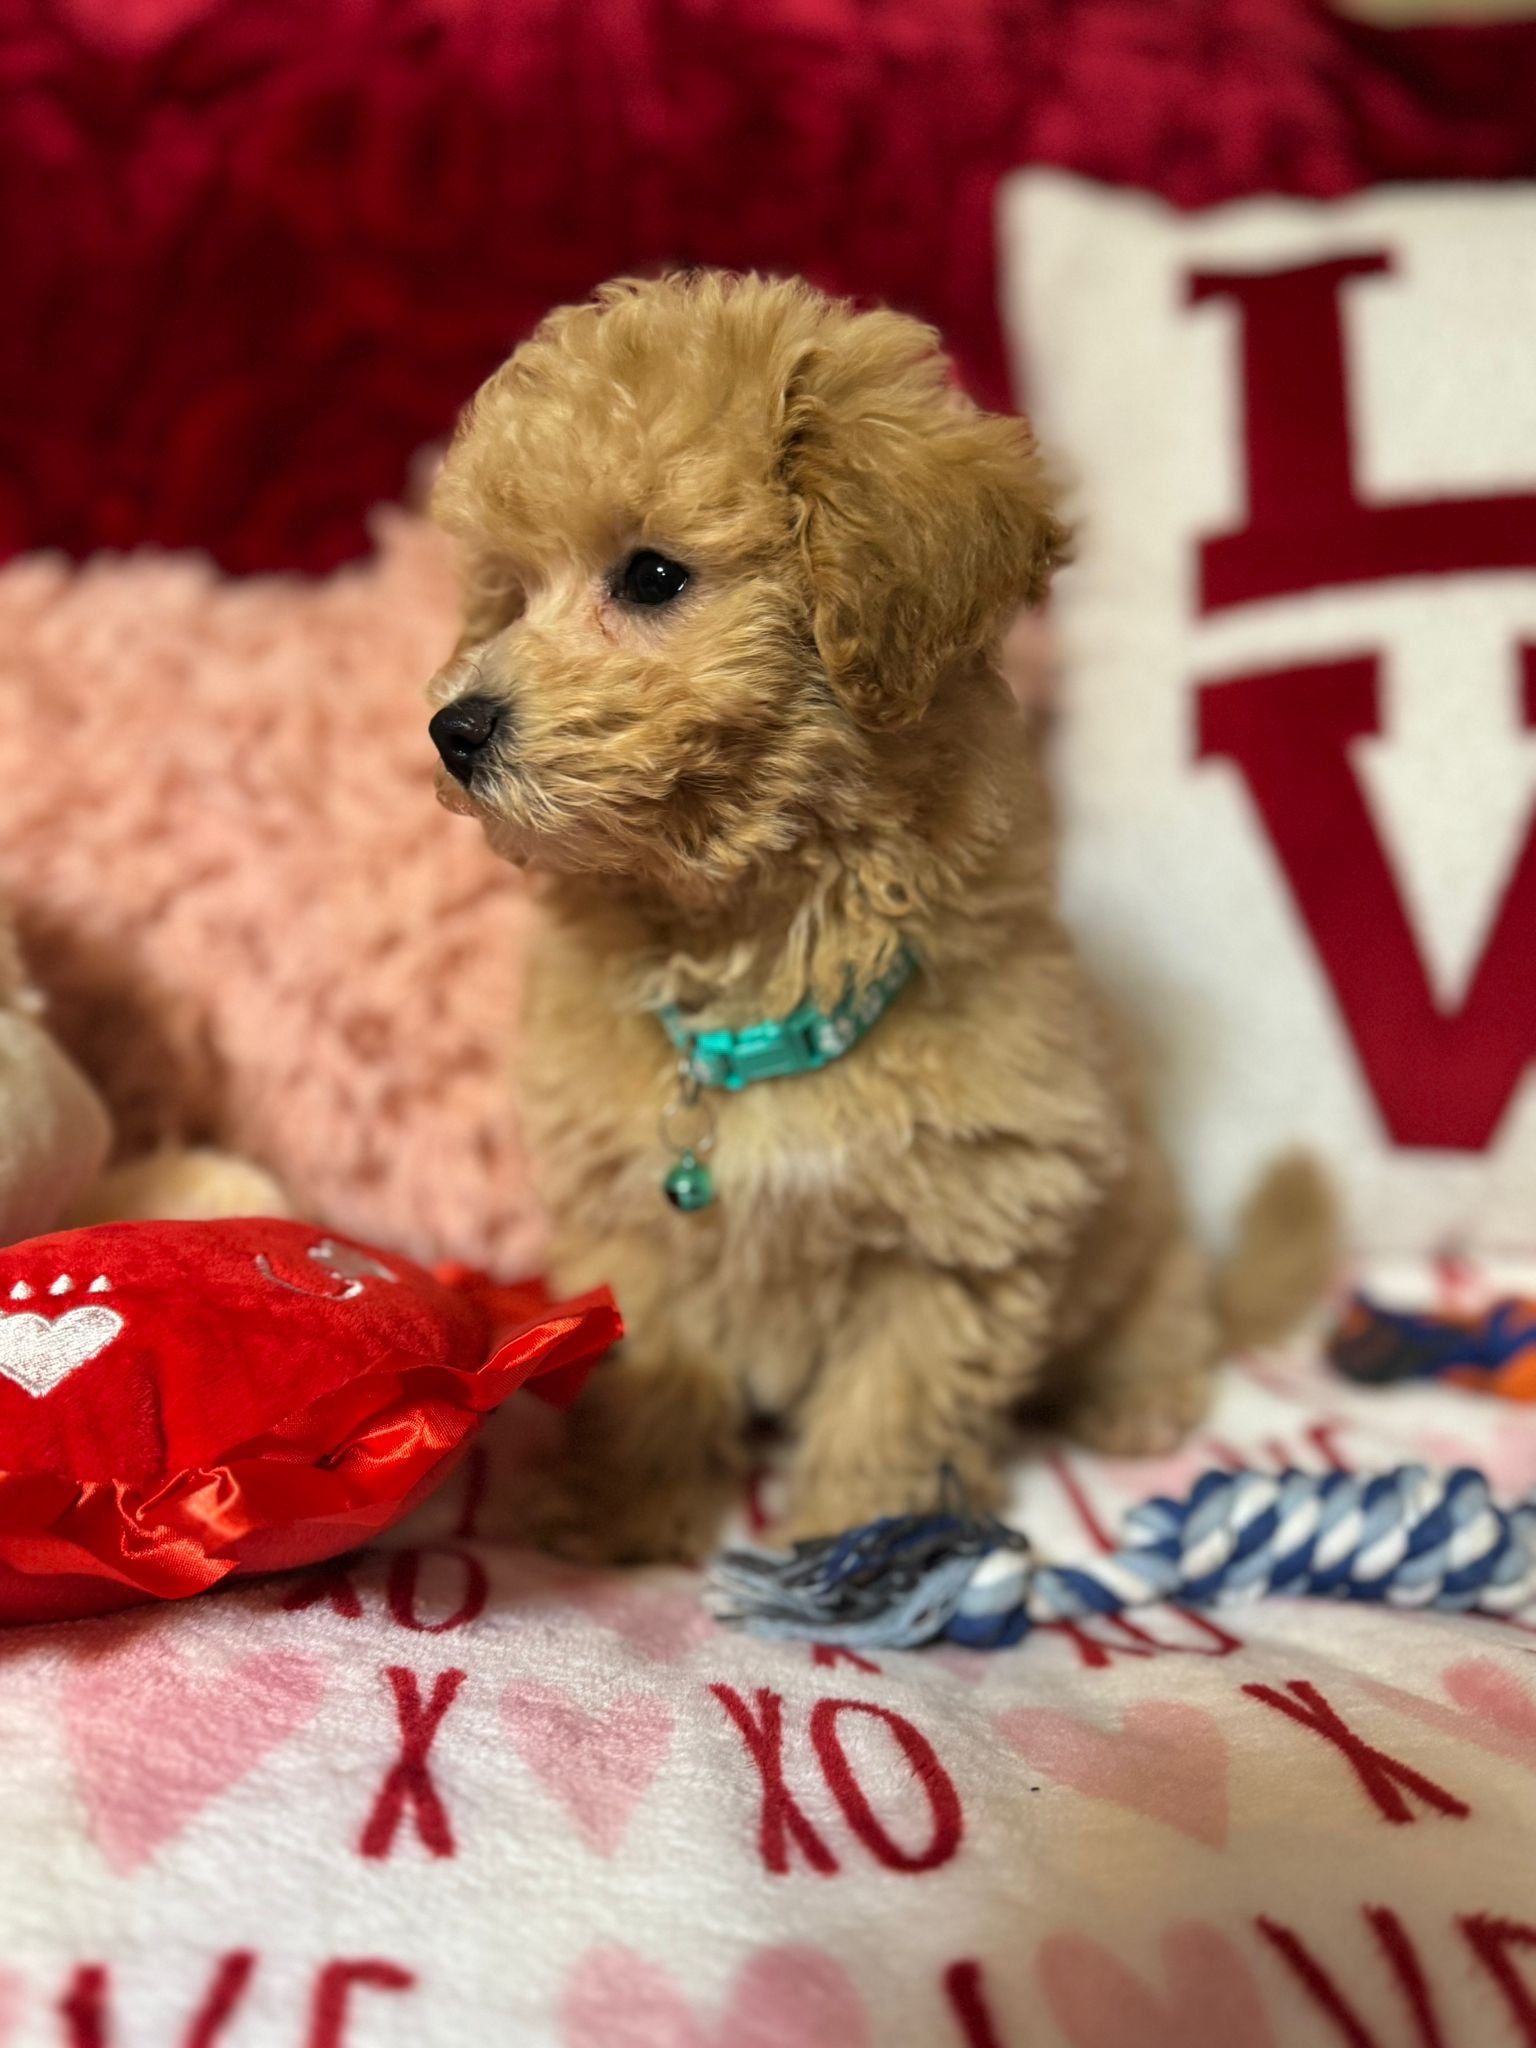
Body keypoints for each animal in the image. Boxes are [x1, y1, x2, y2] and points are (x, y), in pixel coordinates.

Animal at [428, 268, 1327, 1548]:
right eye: (507, 594)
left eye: (651, 576)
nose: (453, 729)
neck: (752, 947)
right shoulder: (635, 1220)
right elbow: (653, 1379)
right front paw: (620, 1513)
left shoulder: (963, 1220)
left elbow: (898, 1398)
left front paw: (862, 1537)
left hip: (1139, 1230)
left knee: (1158, 1313)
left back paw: (1137, 1395)